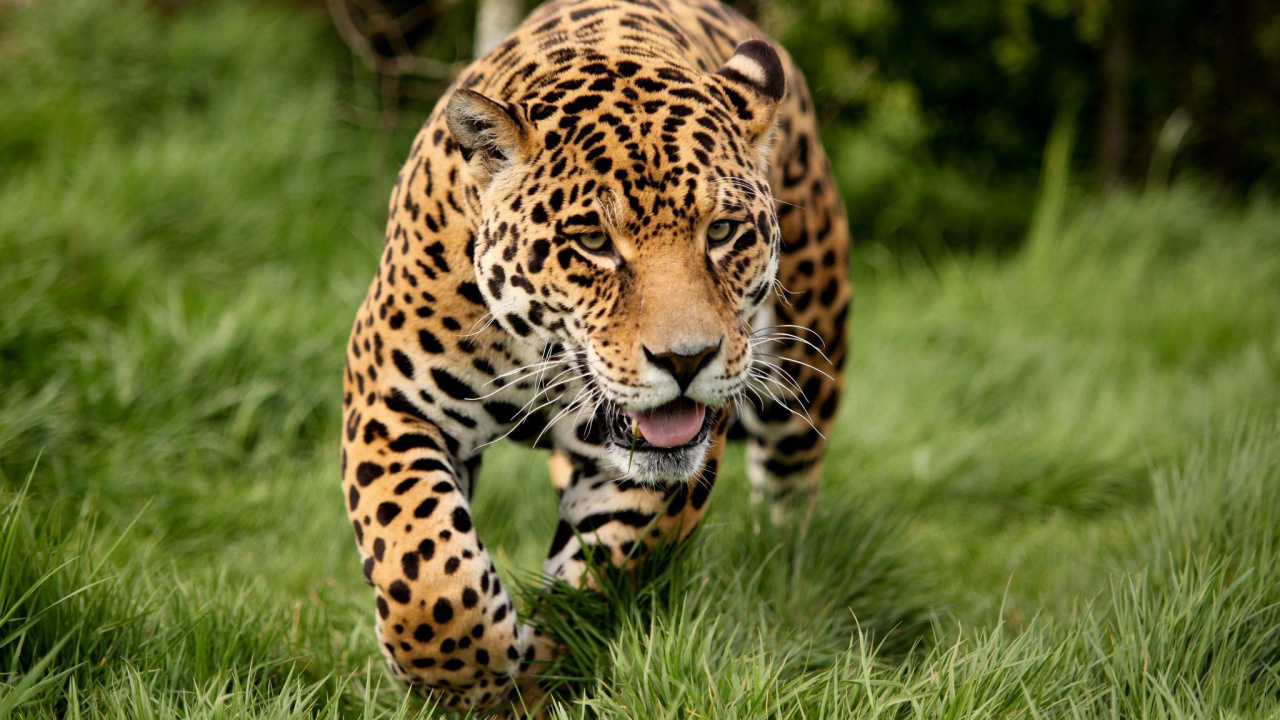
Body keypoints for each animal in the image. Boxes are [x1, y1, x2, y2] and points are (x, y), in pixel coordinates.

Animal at [340, 0, 851, 713]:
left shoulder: (657, 473)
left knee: (790, 495)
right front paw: (465, 682)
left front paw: (533, 676)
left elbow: (595, 576)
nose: (687, 360)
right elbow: (423, 570)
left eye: (722, 231)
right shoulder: (390, 397)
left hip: (807, 372)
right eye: (592, 242)